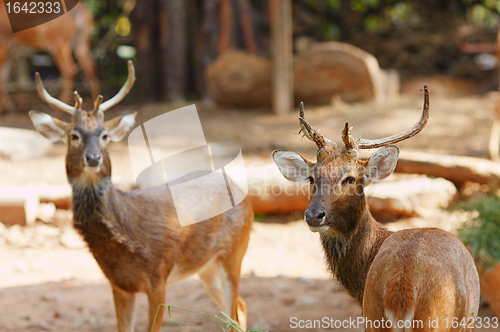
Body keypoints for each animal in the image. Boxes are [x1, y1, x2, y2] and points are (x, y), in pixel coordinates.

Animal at [29, 61, 252, 330]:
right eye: (73, 135)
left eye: (104, 135)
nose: (93, 158)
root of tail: (240, 189)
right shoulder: (119, 284)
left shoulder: (159, 276)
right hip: (204, 266)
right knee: (240, 306)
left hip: (235, 250)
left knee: (236, 308)